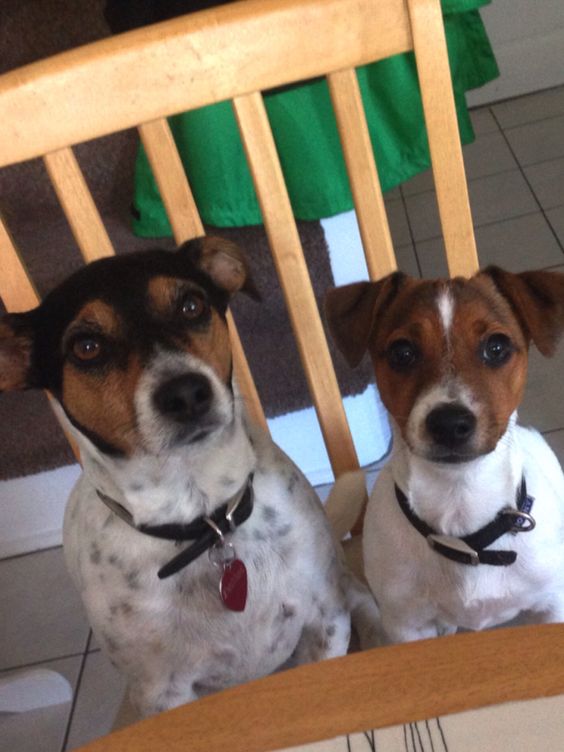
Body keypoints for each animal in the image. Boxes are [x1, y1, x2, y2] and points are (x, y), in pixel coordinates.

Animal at [1, 239, 378, 716]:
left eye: (191, 305)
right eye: (86, 346)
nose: (185, 392)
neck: (204, 519)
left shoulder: (325, 622)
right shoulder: (162, 694)